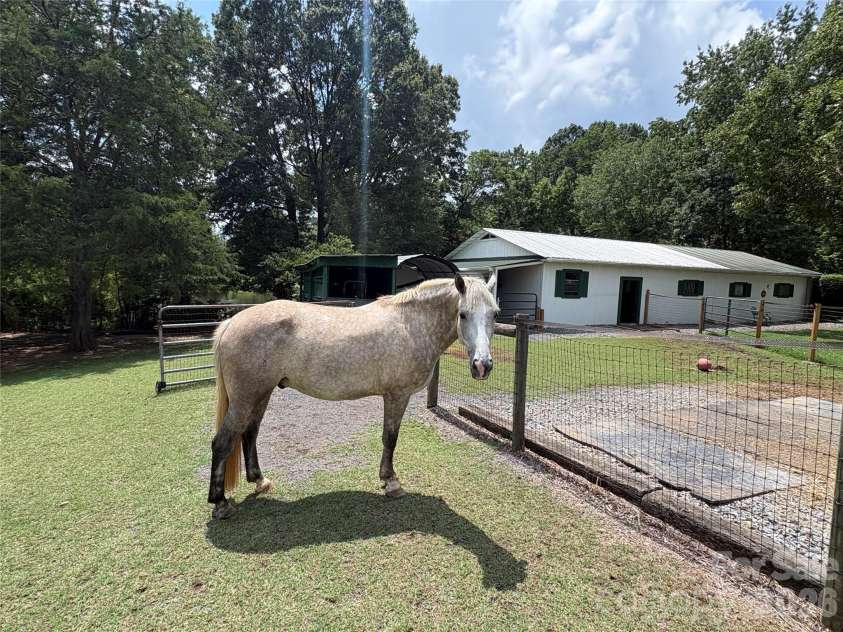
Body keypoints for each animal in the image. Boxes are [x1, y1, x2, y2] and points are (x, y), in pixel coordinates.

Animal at [208, 273, 498, 519]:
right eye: (463, 314)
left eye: (494, 314)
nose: (482, 365)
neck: (411, 324)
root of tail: (231, 322)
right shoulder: (397, 395)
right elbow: (390, 438)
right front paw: (391, 482)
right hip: (245, 398)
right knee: (222, 442)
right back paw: (220, 503)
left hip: (261, 394)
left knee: (249, 434)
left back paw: (260, 481)